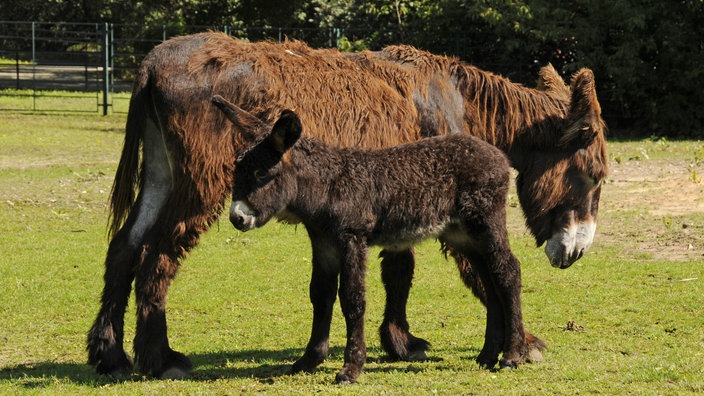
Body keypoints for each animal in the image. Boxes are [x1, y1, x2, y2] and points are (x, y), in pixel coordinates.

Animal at [212, 94, 532, 382]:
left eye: (260, 173)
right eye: (237, 171)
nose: (237, 218)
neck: (328, 187)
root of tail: (497, 155)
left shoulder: (352, 238)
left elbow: (352, 298)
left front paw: (351, 369)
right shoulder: (323, 245)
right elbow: (320, 295)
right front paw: (309, 360)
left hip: (485, 221)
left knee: (508, 272)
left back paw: (512, 356)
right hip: (463, 235)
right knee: (489, 280)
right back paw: (487, 356)